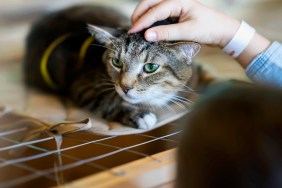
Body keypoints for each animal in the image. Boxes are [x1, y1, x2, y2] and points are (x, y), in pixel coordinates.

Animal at [23, 5, 200, 129]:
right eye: (117, 62)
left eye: (150, 67)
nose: (125, 87)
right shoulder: (83, 85)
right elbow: (108, 100)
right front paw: (138, 114)